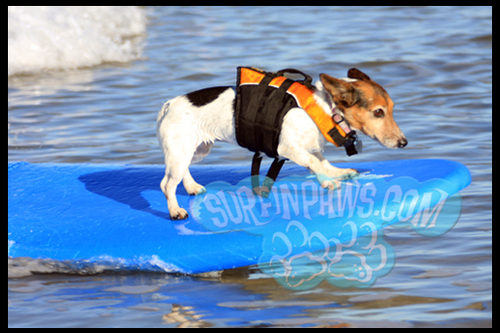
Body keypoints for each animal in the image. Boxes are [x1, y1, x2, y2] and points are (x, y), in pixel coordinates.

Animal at [158, 68, 408, 219]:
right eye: (378, 112)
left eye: (392, 108)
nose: (403, 143)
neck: (328, 110)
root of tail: (170, 104)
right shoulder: (287, 148)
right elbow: (314, 164)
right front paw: (327, 182)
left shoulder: (310, 146)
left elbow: (323, 162)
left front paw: (339, 173)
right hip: (181, 152)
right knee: (167, 184)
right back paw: (175, 211)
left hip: (194, 151)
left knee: (179, 174)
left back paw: (192, 188)